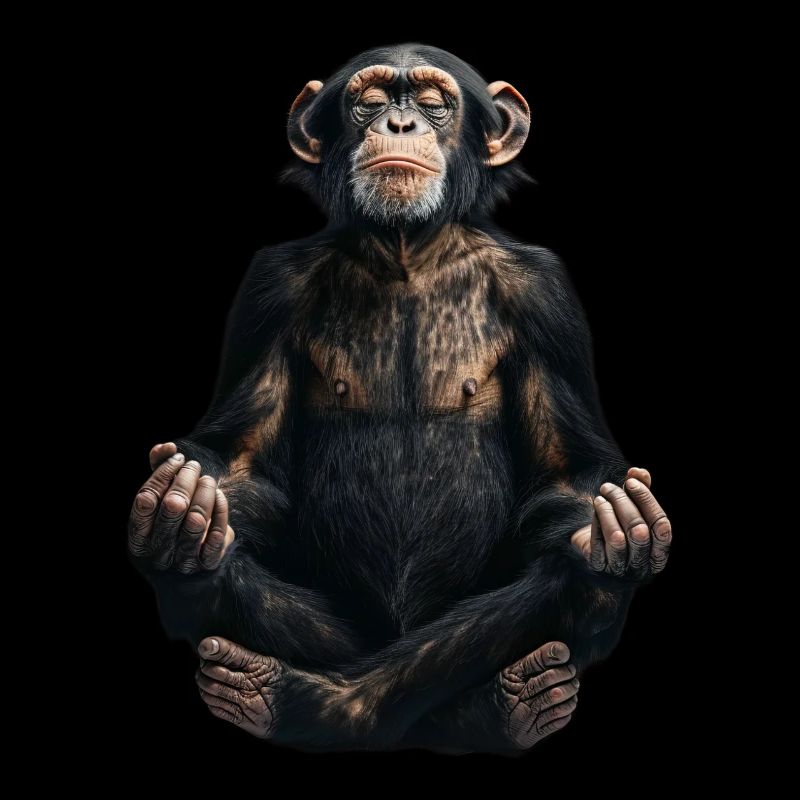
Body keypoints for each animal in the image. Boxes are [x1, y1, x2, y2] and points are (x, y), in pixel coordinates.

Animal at [128, 44, 672, 754]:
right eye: (371, 99)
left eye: (434, 103)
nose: (400, 124)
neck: (406, 251)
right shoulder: (268, 289)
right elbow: (240, 465)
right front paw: (183, 500)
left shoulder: (544, 294)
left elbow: (570, 480)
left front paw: (614, 528)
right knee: (212, 570)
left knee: (574, 583)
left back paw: (484, 703)